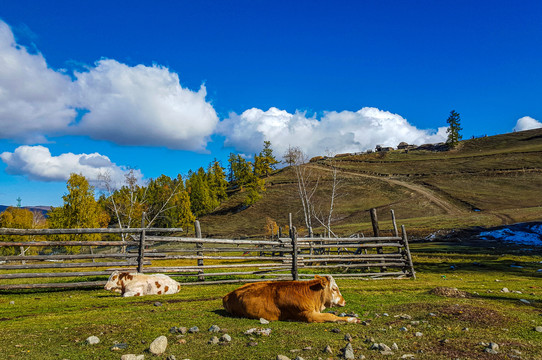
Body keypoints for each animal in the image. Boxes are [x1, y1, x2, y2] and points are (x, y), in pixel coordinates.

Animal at [223, 274, 360, 322]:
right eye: (334, 289)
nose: (344, 301)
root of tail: (228, 295)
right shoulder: (307, 314)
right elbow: (330, 316)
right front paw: (352, 319)